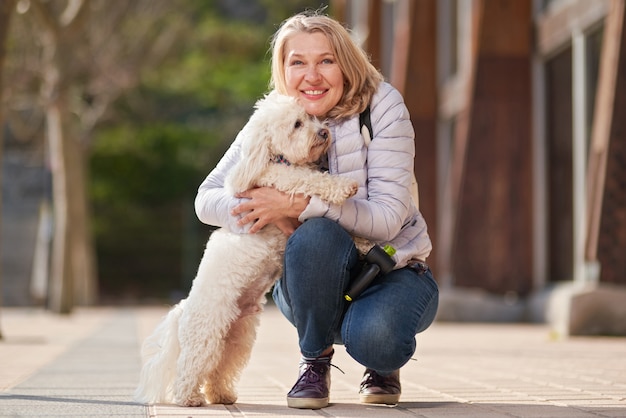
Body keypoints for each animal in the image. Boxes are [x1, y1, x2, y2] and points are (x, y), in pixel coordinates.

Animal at [134, 92, 358, 408]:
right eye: (297, 124)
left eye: (313, 117)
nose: (324, 132)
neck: (277, 157)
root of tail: (183, 309)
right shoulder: (283, 179)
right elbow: (311, 180)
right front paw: (344, 187)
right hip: (207, 336)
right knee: (190, 366)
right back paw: (189, 398)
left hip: (237, 338)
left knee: (220, 368)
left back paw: (222, 395)